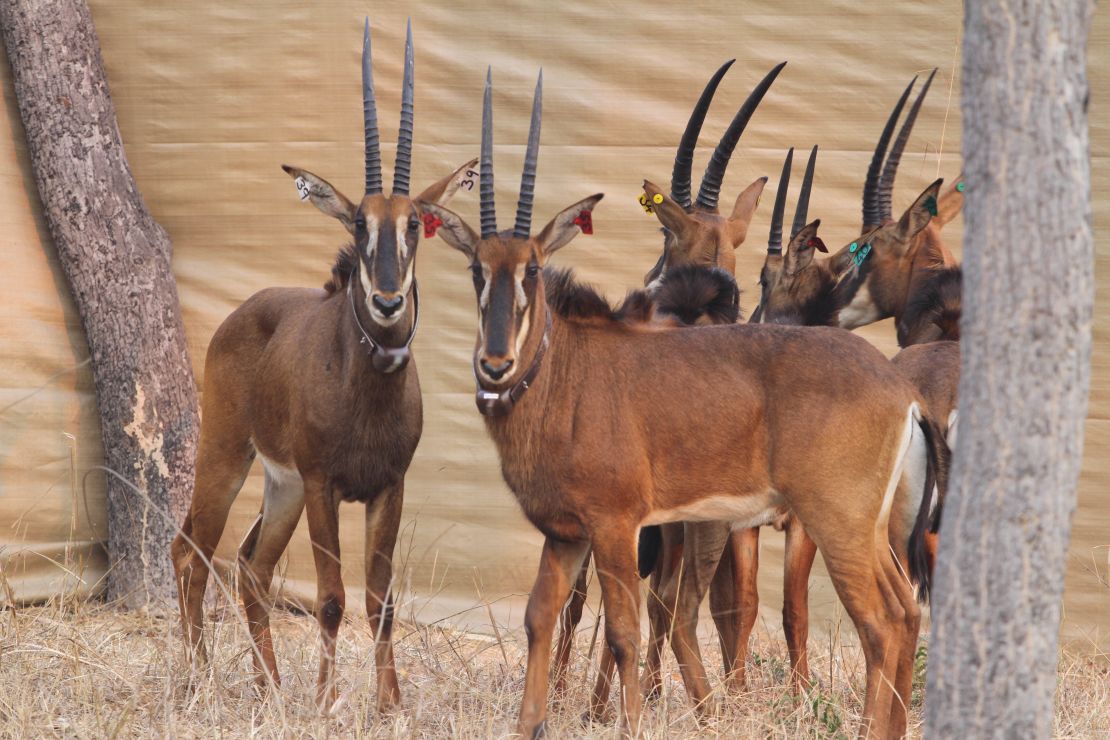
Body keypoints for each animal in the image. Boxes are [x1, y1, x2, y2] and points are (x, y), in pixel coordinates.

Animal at [170, 21, 475, 710]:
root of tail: (242, 313)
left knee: (251, 567)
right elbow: (334, 598)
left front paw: (388, 703)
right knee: (192, 553)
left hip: (280, 486)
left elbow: (381, 601)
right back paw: (198, 678)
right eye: (359, 221)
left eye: (414, 223)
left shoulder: (388, 486)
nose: (387, 301)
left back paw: (269, 687)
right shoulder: (323, 485)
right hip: (228, 457)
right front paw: (328, 701)